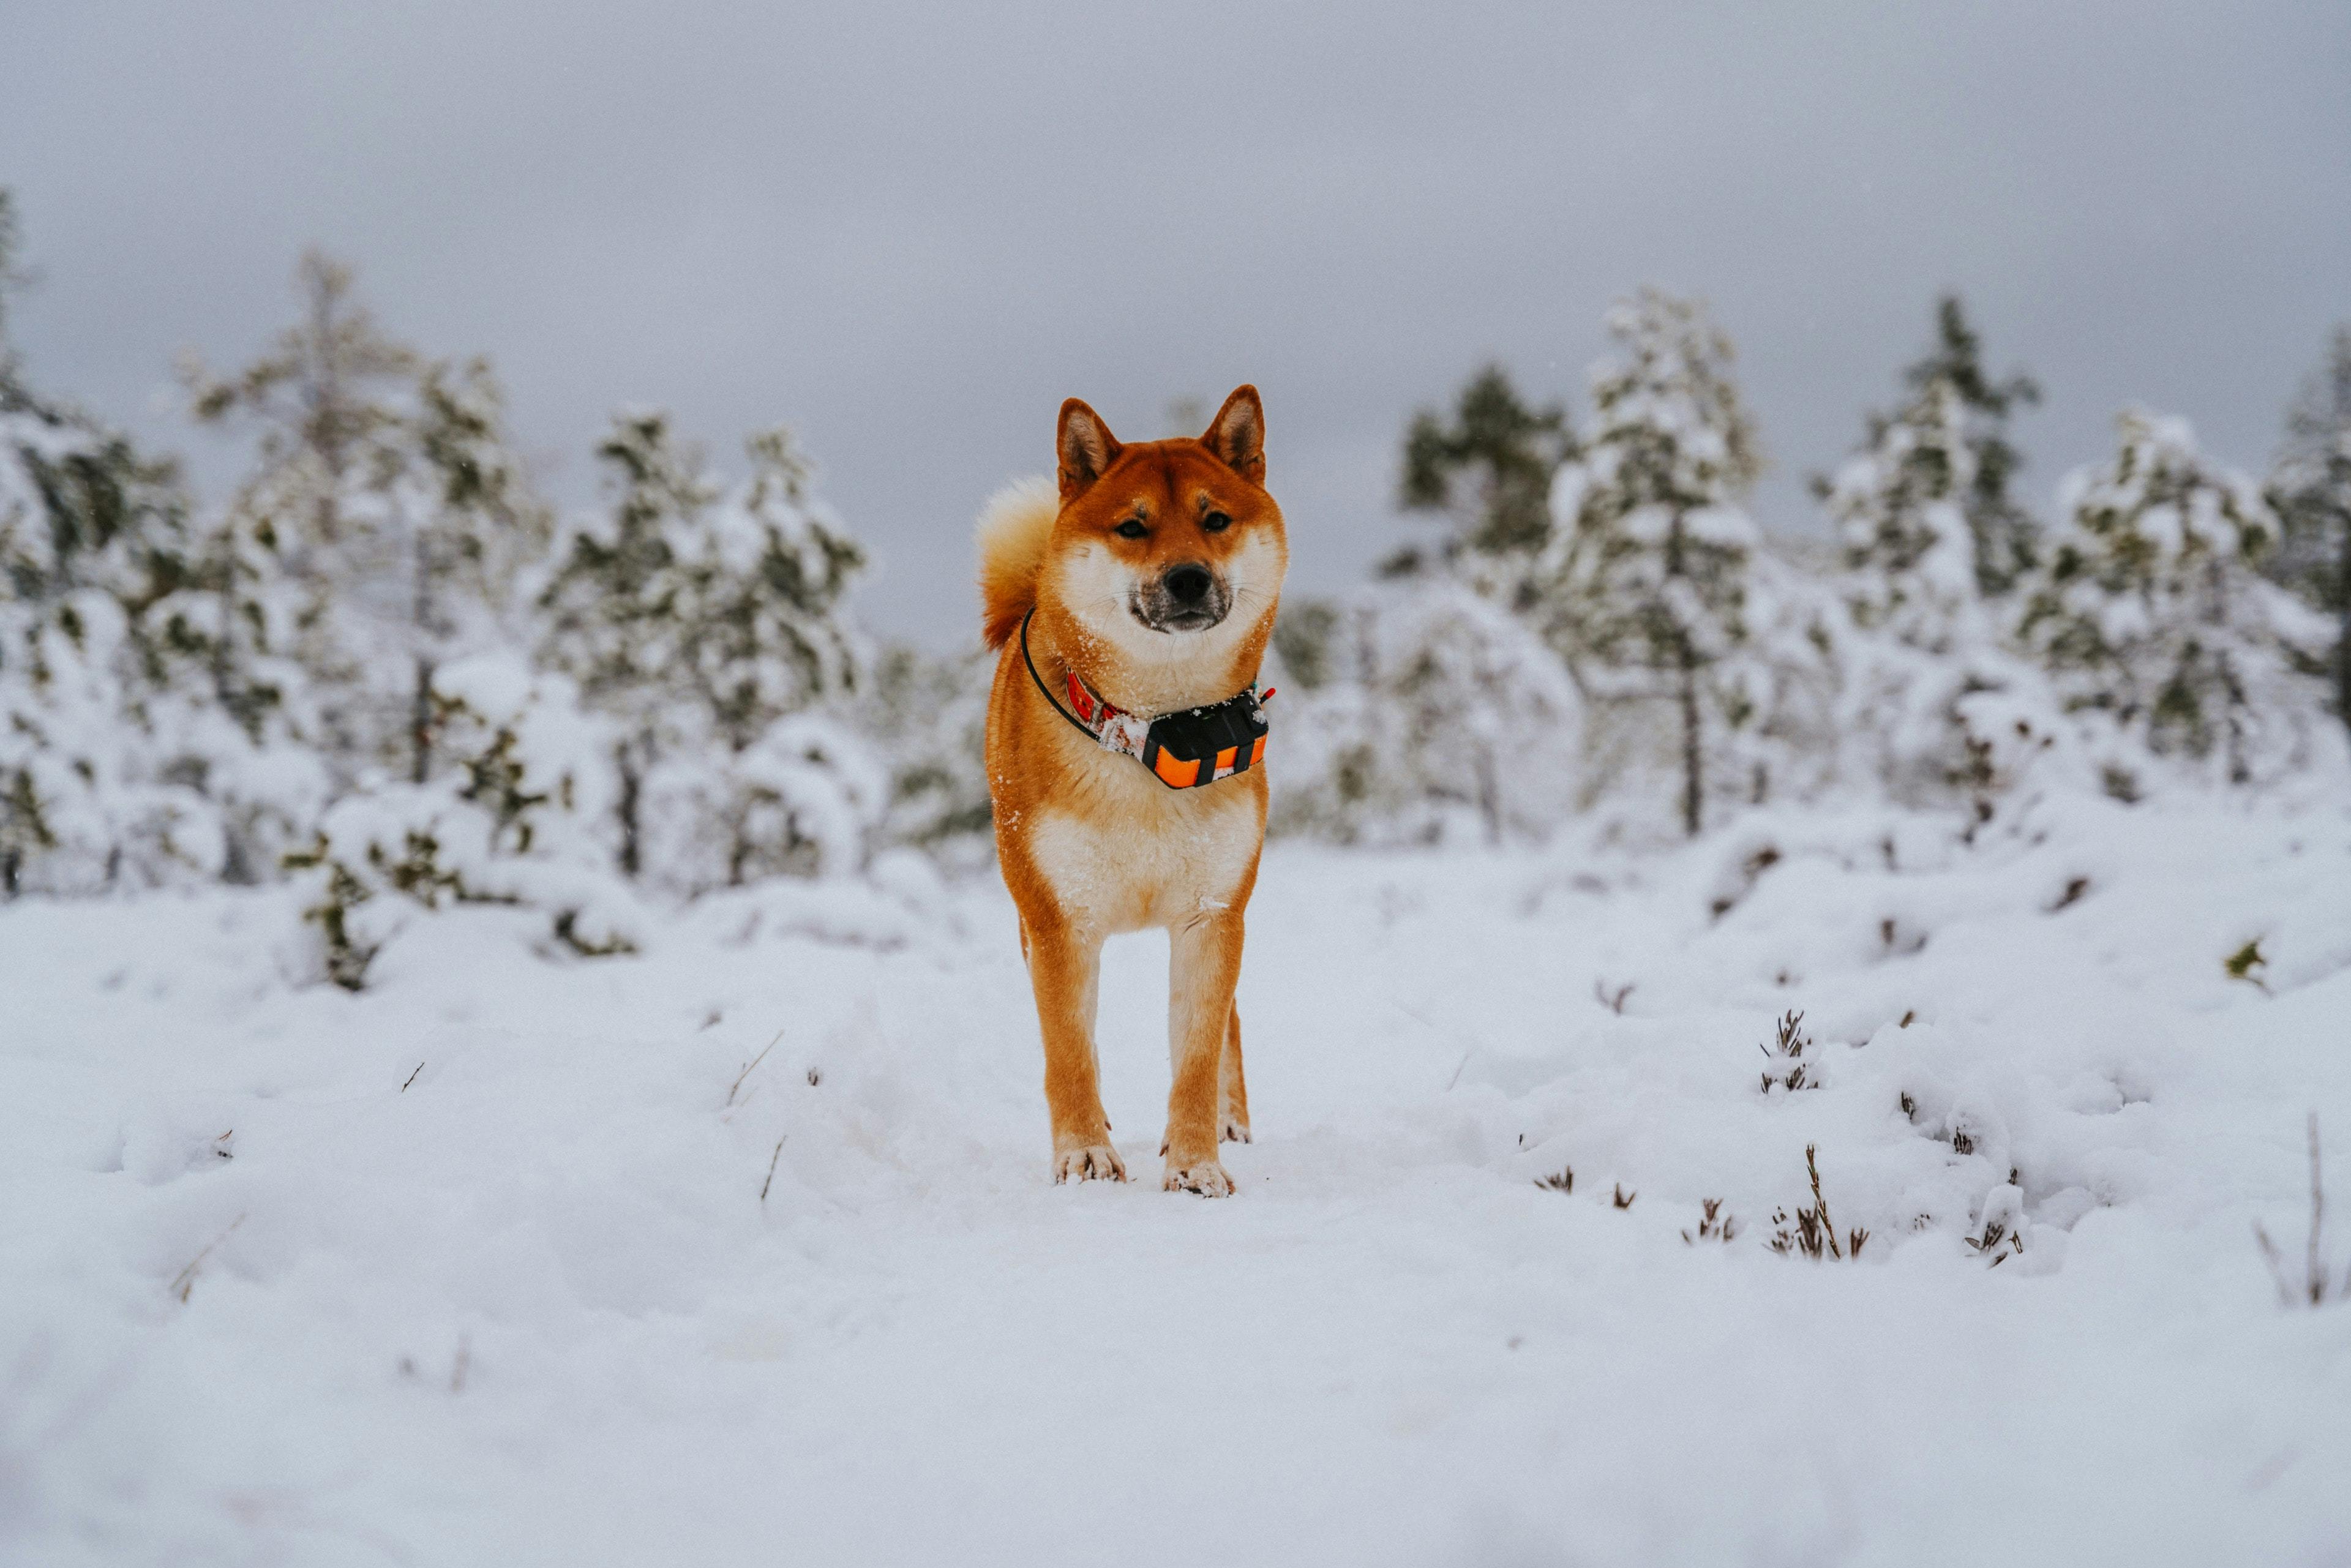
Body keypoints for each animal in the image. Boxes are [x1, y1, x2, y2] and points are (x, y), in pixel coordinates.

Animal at [983, 385, 1297, 1194]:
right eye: (1133, 526)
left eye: (1215, 518)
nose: (1188, 577)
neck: (1156, 733)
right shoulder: (1059, 922)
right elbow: (1069, 1053)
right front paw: (1086, 1154)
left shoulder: (1212, 915)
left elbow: (1198, 1055)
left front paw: (1196, 1162)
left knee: (1230, 1025)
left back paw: (1230, 1123)